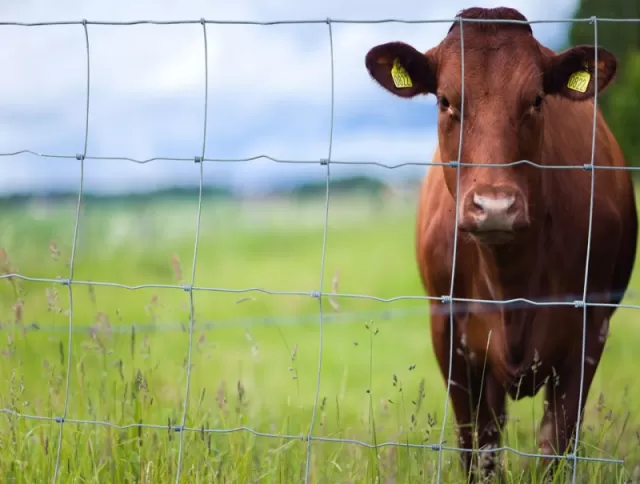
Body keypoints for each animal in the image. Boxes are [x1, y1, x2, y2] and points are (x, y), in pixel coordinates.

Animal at [362, 5, 636, 482]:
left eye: (537, 100)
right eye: (445, 101)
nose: (494, 207)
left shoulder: (590, 327)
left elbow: (555, 446)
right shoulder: (448, 331)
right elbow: (478, 448)